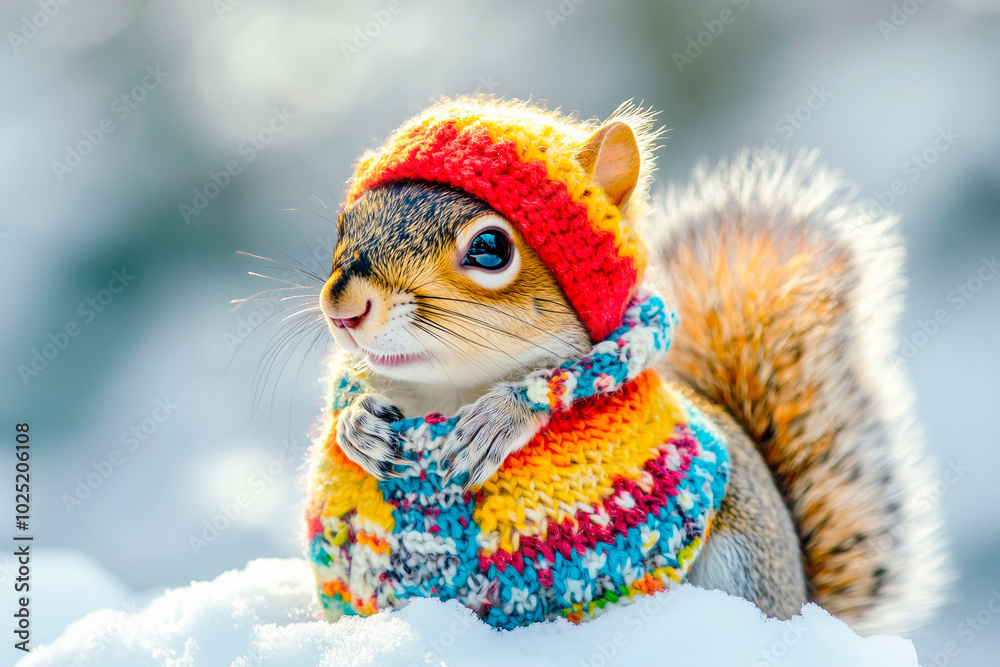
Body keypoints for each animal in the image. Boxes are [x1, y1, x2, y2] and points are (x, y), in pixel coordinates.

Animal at [311, 97, 950, 636]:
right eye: (343, 223)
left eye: (490, 249)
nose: (345, 306)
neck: (446, 392)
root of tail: (800, 601)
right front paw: (357, 427)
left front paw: (500, 418)